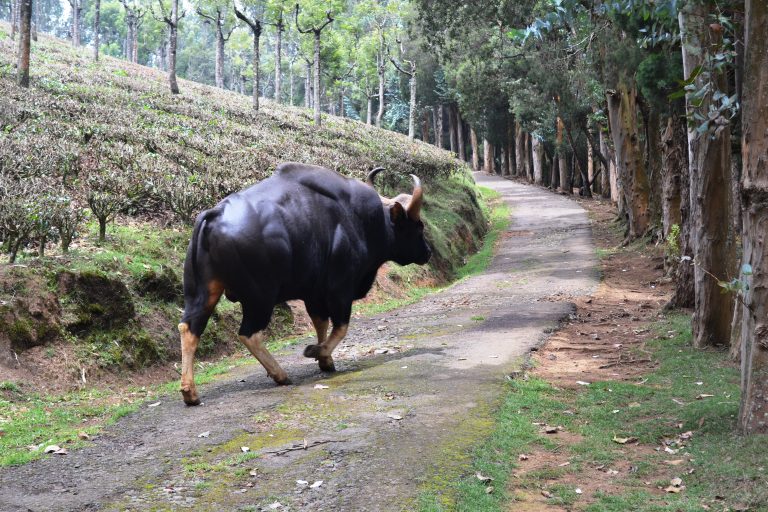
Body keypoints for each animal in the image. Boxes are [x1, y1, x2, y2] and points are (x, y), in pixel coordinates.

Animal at [179, 163, 432, 404]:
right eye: (418, 225)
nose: (428, 252)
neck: (362, 221)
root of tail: (215, 214)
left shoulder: (314, 294)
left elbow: (321, 323)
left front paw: (326, 360)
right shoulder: (340, 288)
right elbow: (341, 327)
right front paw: (316, 352)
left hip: (202, 292)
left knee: (189, 328)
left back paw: (190, 392)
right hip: (260, 296)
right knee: (248, 333)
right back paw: (280, 374)